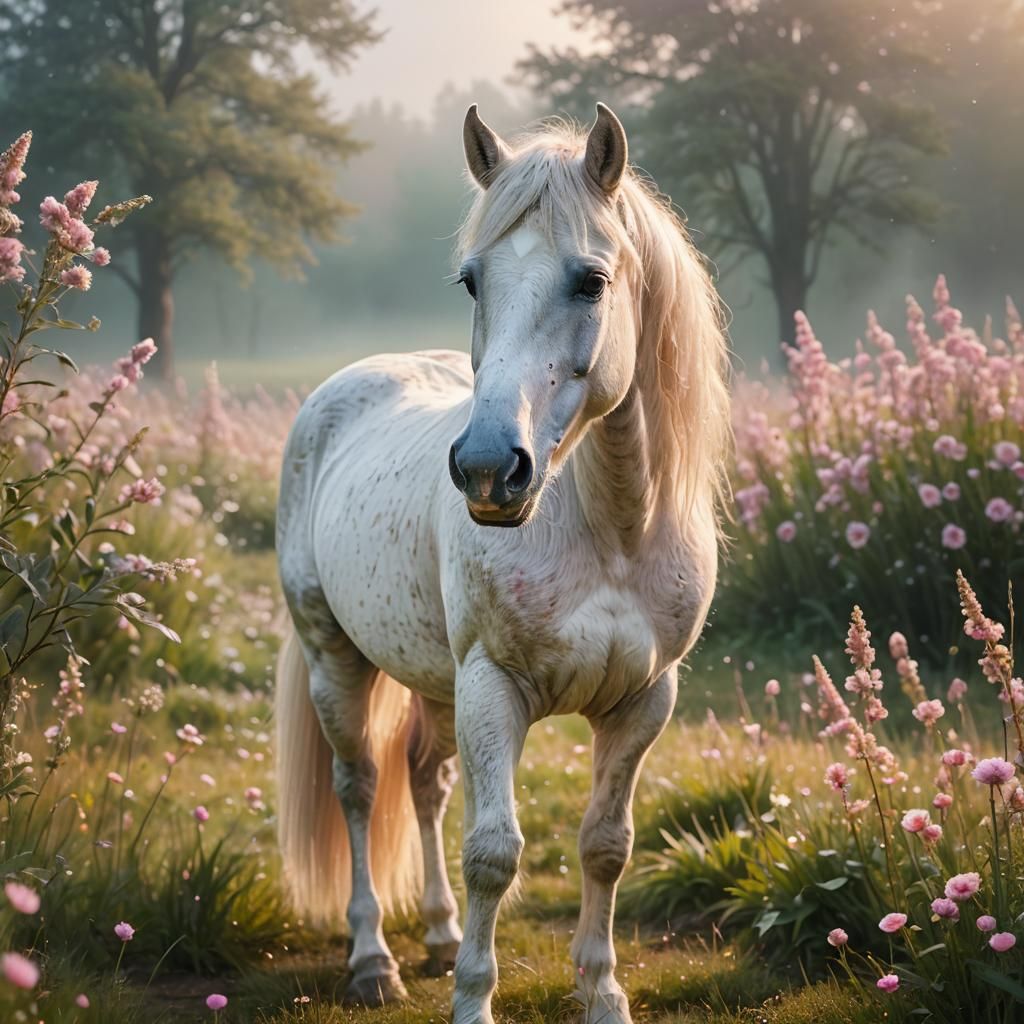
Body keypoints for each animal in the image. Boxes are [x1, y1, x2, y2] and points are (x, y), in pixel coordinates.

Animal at [274, 102, 731, 1024]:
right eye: (472, 282)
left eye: (591, 281)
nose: (489, 469)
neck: (608, 531)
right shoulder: (493, 688)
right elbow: (494, 852)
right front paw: (472, 1000)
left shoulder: (643, 701)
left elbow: (605, 845)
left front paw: (602, 993)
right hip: (336, 660)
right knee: (359, 786)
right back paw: (373, 959)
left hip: (434, 680)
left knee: (423, 782)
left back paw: (439, 932)